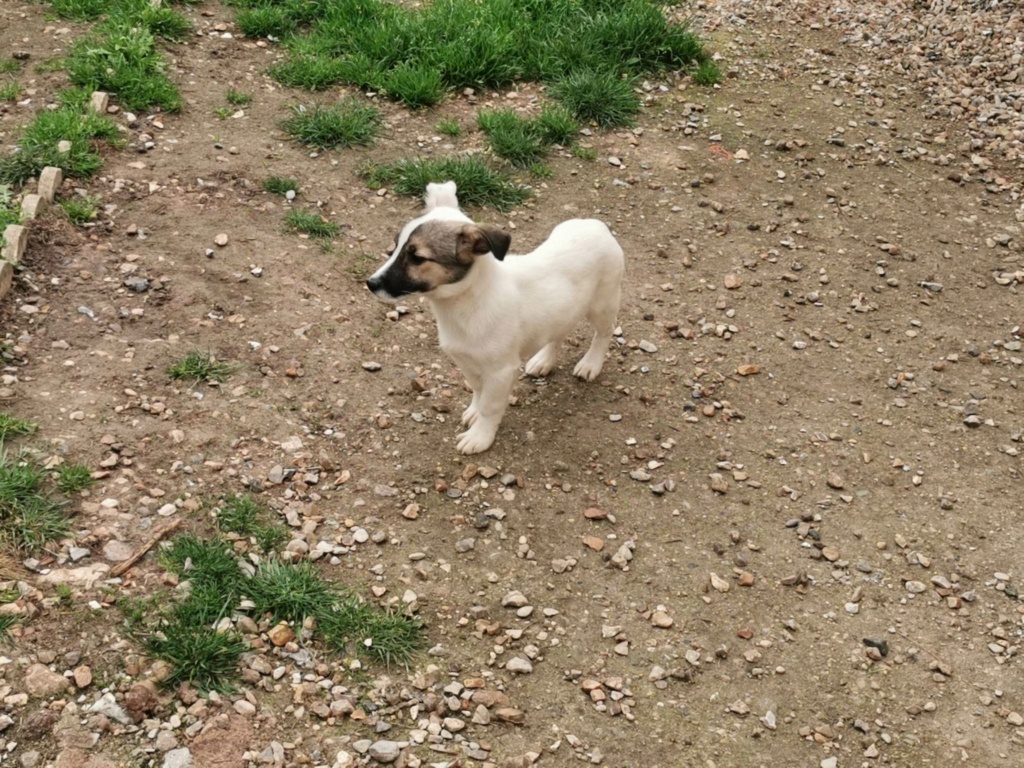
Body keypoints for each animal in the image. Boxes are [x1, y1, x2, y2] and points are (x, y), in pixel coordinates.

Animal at [368, 181, 622, 454]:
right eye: (395, 248)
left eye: (417, 258)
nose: (370, 284)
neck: (465, 303)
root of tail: (597, 225)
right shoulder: (467, 361)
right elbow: (478, 391)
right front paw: (474, 412)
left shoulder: (500, 370)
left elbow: (490, 406)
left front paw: (480, 436)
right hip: (564, 310)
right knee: (558, 332)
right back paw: (543, 361)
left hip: (602, 304)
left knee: (604, 332)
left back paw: (590, 364)